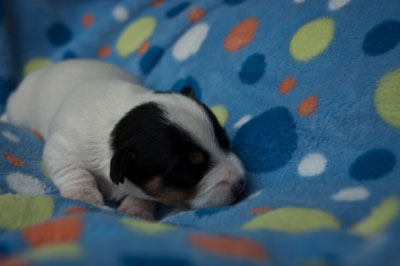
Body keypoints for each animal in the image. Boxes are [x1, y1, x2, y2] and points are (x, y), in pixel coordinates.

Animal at [6, 59, 245, 219]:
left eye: (225, 142)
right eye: (186, 169)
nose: (241, 183)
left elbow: (143, 195)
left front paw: (137, 209)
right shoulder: (61, 148)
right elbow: (76, 171)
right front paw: (84, 195)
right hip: (19, 109)